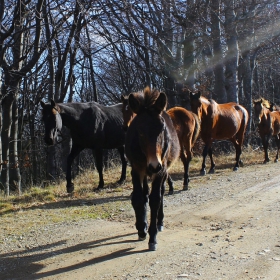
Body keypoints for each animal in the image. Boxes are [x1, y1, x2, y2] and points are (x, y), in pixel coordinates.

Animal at [124, 86, 179, 250]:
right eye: (140, 131)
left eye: (162, 129)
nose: (154, 165)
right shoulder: (136, 169)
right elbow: (137, 197)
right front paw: (141, 229)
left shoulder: (161, 171)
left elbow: (155, 199)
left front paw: (152, 237)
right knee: (145, 194)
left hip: (163, 171)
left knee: (160, 193)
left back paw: (160, 222)